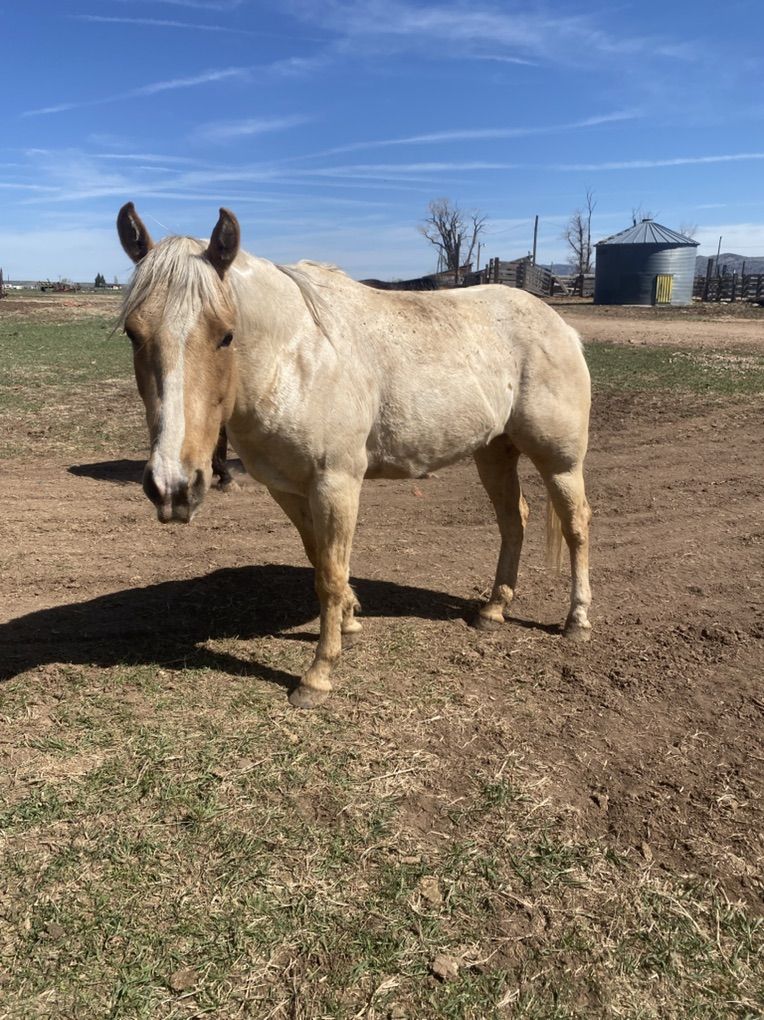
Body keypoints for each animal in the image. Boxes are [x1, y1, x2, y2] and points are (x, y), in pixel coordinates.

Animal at [116, 203, 592, 709]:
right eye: (133, 333)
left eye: (226, 335)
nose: (173, 487)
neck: (296, 356)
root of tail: (559, 325)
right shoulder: (288, 489)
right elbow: (319, 558)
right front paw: (348, 619)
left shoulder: (336, 483)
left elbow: (330, 571)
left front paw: (318, 675)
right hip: (494, 453)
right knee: (513, 520)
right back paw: (494, 609)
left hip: (560, 461)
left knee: (576, 525)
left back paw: (577, 620)